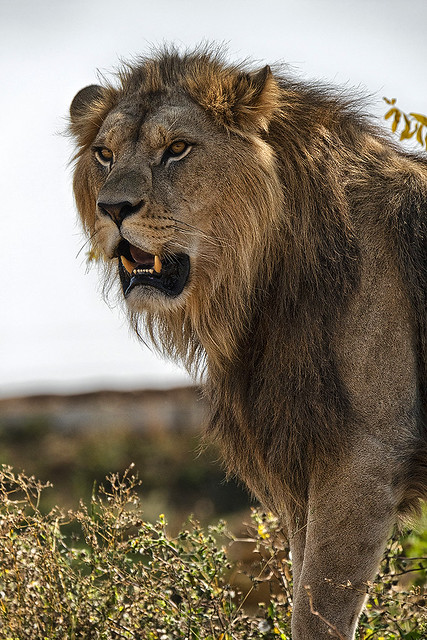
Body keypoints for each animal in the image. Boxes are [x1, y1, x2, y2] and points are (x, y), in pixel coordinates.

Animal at [68, 48, 426, 640]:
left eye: (177, 149)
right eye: (104, 154)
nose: (112, 208)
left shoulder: (365, 460)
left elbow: (316, 614)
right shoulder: (302, 461)